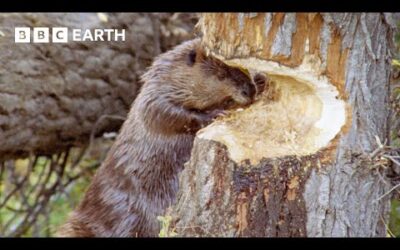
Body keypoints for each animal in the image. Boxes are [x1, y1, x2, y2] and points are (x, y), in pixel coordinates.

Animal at [57, 38, 266, 236]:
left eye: (243, 68)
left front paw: (262, 79)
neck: (170, 77)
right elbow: (168, 114)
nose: (249, 90)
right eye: (221, 75)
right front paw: (214, 114)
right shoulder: (154, 98)